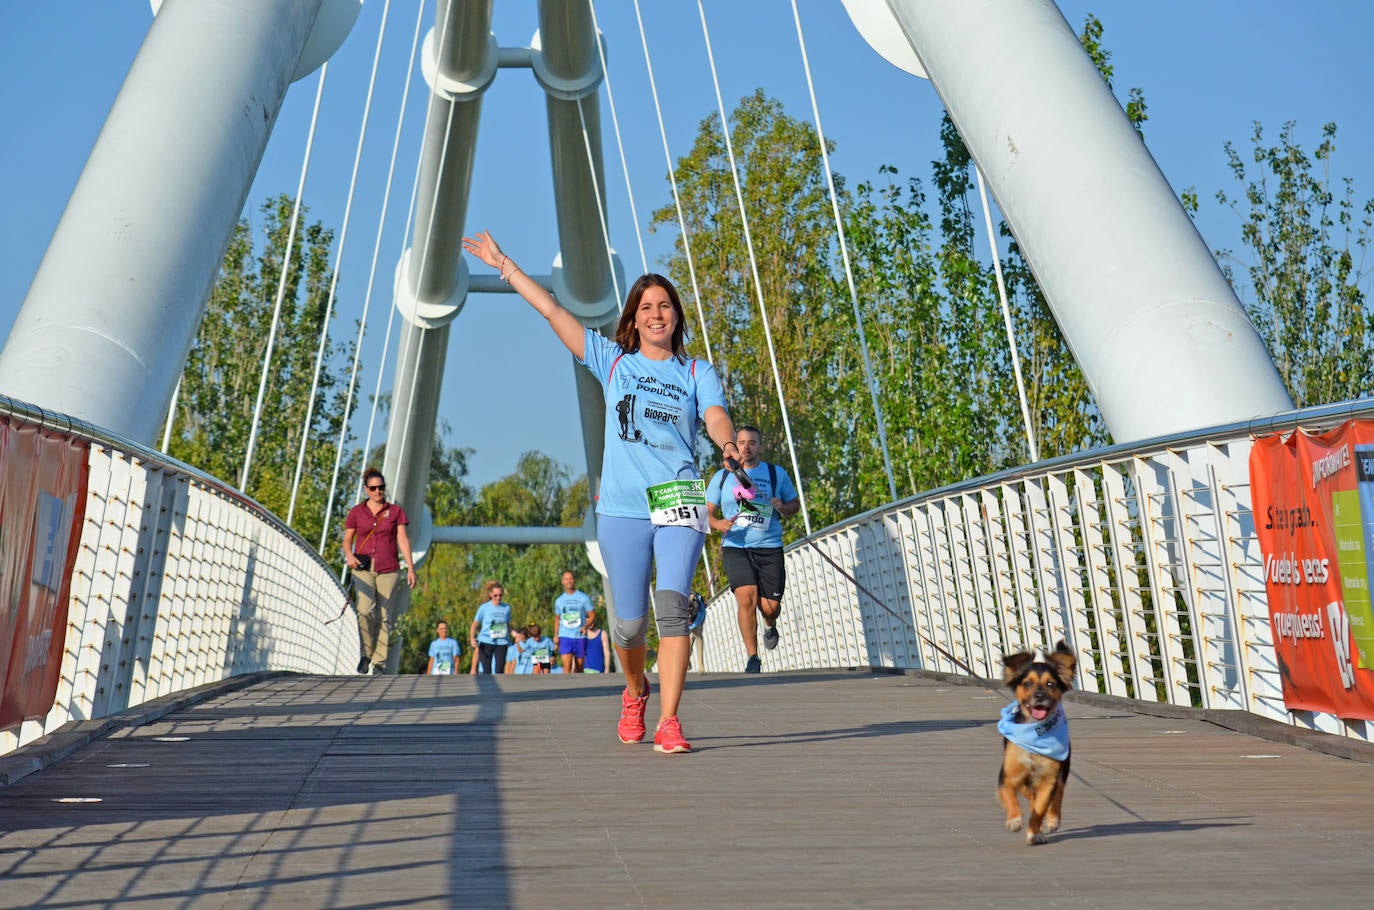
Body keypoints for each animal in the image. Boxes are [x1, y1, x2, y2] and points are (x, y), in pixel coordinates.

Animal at [1000, 640, 1071, 846]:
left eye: (1050, 684)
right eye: (1027, 684)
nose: (1039, 696)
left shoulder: (1049, 778)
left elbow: (1040, 809)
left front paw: (1035, 832)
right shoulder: (1008, 775)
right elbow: (1009, 794)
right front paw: (1014, 820)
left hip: (1062, 769)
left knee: (1057, 794)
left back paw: (1053, 819)